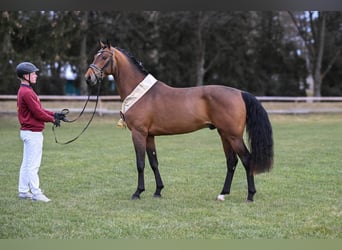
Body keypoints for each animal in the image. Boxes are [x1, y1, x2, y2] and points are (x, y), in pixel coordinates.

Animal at [86, 40, 276, 201]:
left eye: (104, 57)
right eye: (95, 56)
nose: (89, 78)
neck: (141, 92)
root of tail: (240, 93)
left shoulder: (138, 134)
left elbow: (140, 163)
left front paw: (137, 192)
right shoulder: (149, 136)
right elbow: (154, 162)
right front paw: (158, 191)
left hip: (233, 136)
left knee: (246, 160)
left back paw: (250, 195)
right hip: (224, 134)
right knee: (232, 161)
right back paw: (222, 194)